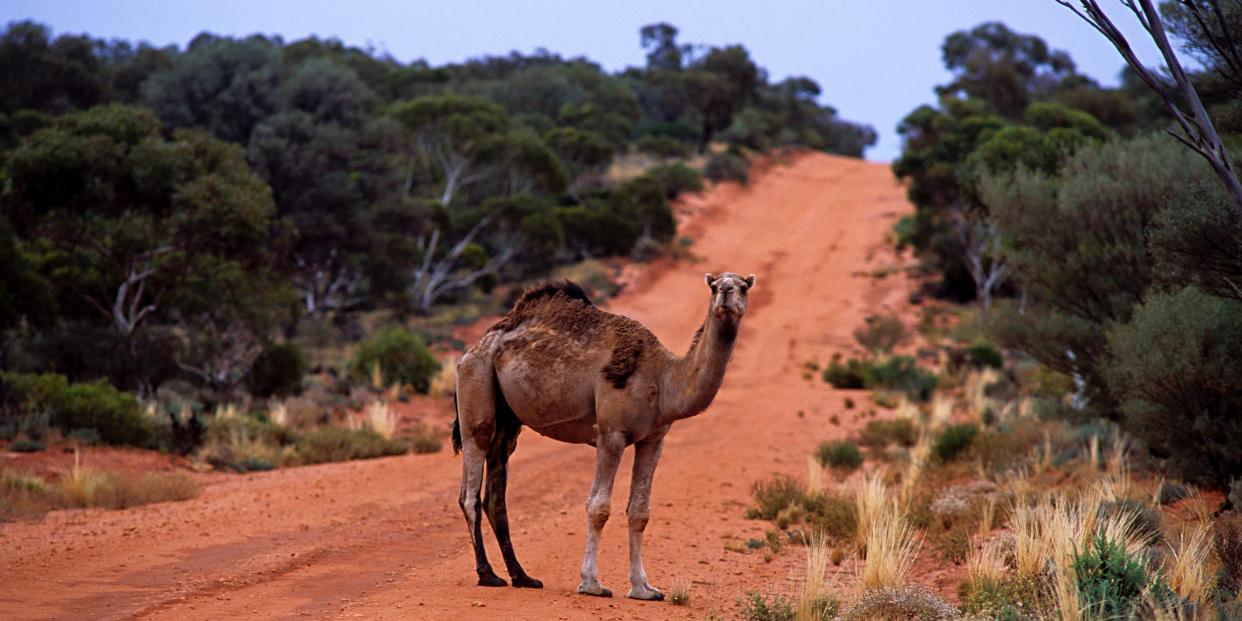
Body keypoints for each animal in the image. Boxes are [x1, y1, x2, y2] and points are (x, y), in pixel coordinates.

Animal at [452, 273, 750, 601]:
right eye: (714, 285)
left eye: (744, 286)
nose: (726, 292)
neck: (663, 379)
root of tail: (474, 348)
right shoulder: (611, 432)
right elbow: (598, 507)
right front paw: (592, 583)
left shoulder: (653, 439)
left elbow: (639, 511)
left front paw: (644, 589)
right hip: (476, 386)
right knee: (470, 485)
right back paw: (487, 575)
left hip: (508, 420)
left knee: (496, 492)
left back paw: (522, 577)